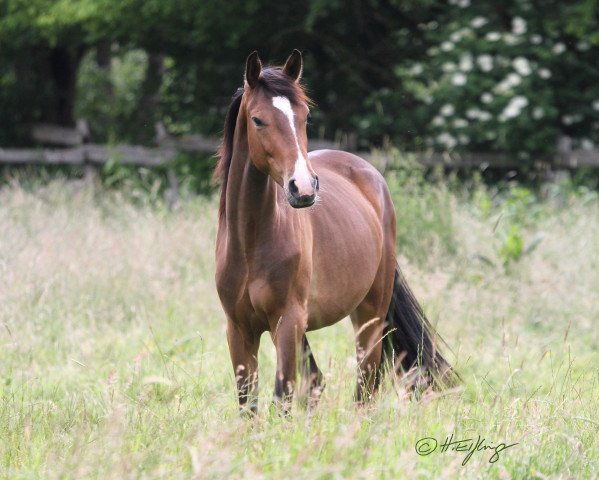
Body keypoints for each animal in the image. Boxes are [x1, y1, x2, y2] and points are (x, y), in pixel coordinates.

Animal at [213, 50, 452, 414]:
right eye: (257, 120)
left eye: (304, 116)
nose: (303, 187)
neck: (250, 243)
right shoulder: (239, 330)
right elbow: (248, 405)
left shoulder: (287, 322)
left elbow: (282, 396)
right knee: (318, 382)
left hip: (370, 315)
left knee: (366, 383)